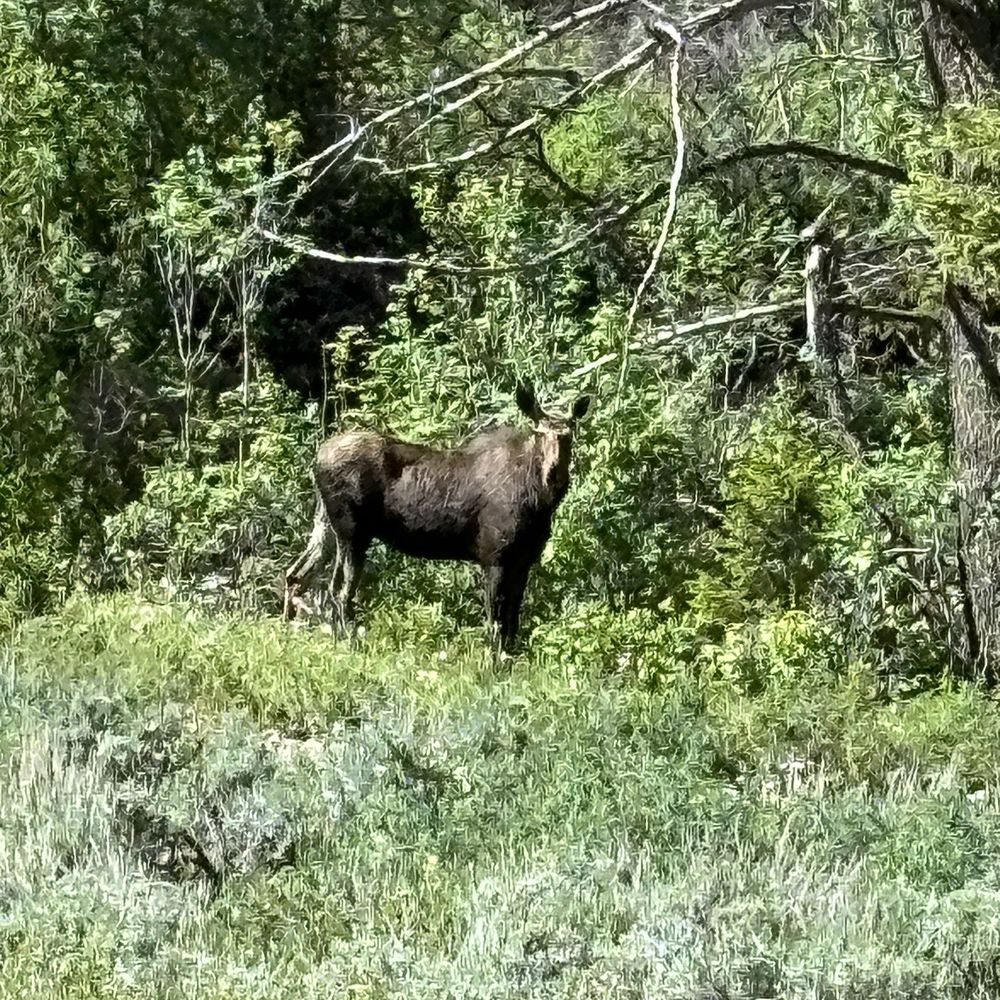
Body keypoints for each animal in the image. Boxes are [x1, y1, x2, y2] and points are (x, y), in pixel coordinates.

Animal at [283, 383, 590, 651]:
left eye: (569, 435)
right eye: (539, 433)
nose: (554, 473)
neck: (540, 504)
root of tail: (316, 460)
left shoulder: (524, 560)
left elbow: (512, 618)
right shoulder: (494, 556)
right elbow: (496, 619)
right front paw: (495, 663)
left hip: (327, 527)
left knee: (296, 575)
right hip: (353, 532)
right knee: (339, 590)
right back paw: (349, 641)